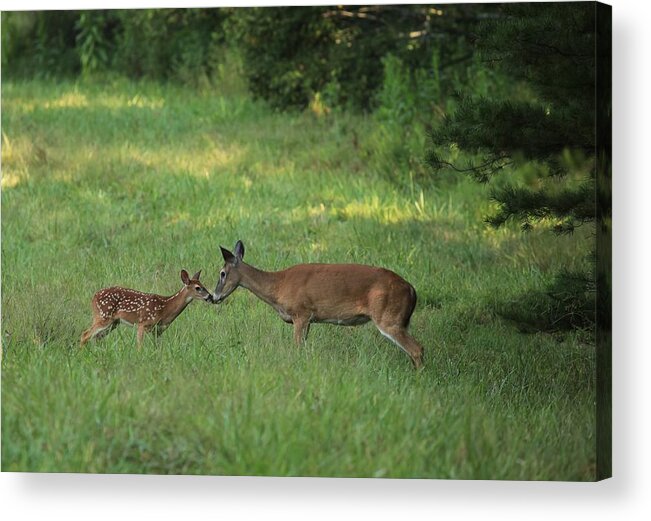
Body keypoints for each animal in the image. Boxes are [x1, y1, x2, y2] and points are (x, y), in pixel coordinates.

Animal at [78, 270, 211, 348]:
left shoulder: (158, 330)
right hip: (103, 316)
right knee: (85, 334)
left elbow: (158, 347)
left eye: (203, 285)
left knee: (96, 337)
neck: (165, 308)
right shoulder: (143, 323)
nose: (210, 296)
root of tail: (93, 297)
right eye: (198, 287)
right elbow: (139, 346)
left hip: (113, 323)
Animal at [211, 240, 426, 366]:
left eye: (222, 273)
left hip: (388, 317)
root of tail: (411, 289)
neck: (278, 286)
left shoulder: (301, 313)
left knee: (417, 349)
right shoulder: (309, 320)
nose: (213, 297)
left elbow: (297, 347)